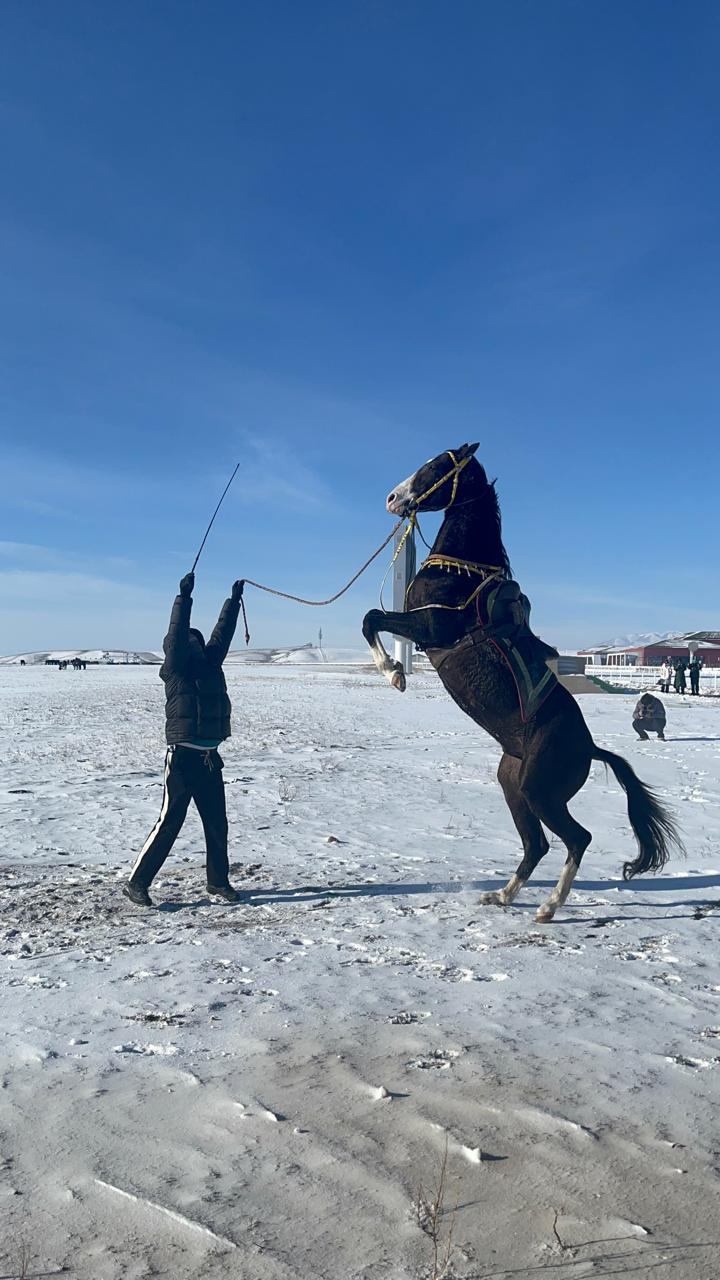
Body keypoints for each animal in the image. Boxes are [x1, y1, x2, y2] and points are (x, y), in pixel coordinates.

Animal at [361, 445, 681, 926]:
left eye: (438, 465)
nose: (392, 498)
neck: (463, 573)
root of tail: (590, 748)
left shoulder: (430, 628)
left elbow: (371, 618)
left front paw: (394, 672)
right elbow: (371, 619)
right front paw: (393, 670)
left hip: (539, 792)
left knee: (577, 838)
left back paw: (549, 906)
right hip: (513, 786)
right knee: (538, 844)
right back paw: (503, 896)